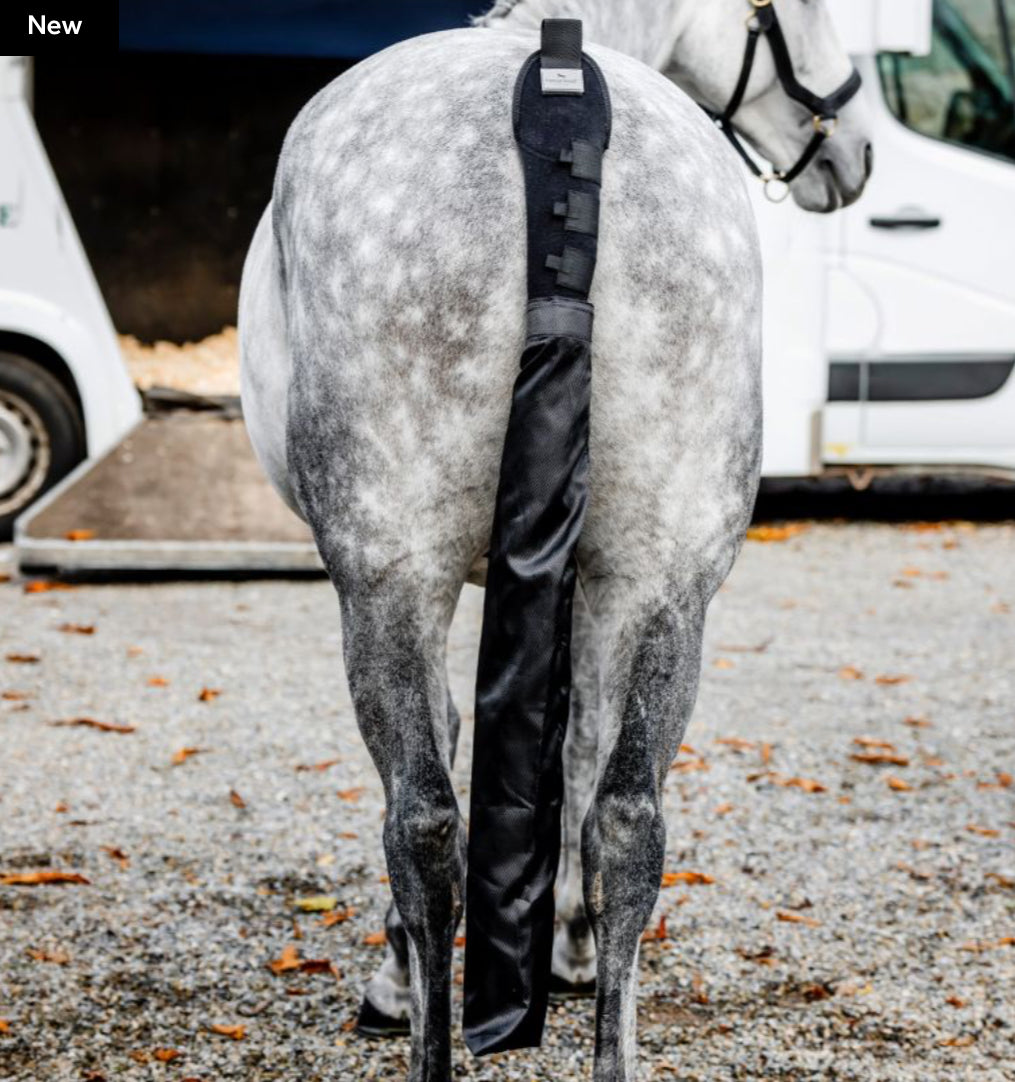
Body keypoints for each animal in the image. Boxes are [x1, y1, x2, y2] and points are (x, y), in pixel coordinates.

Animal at [238, 1, 872, 1077]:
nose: (856, 154)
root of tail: (559, 102)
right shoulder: (596, 576)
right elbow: (576, 752)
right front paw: (567, 945)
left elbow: (464, 742)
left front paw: (407, 974)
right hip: (664, 583)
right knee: (628, 820)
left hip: (389, 580)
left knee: (424, 821)